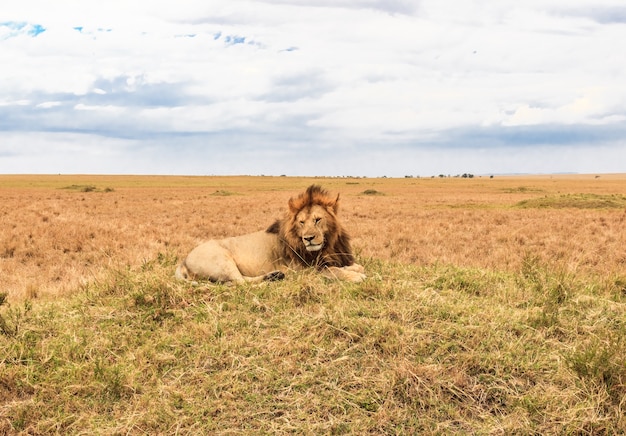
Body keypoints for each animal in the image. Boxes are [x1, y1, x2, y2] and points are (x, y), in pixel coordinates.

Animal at [173, 185, 364, 284]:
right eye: (302, 222)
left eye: (317, 220)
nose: (308, 239)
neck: (327, 246)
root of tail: (183, 261)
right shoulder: (304, 270)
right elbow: (332, 271)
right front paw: (355, 276)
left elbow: (349, 266)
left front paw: (354, 269)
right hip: (222, 260)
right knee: (240, 283)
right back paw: (271, 280)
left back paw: (274, 276)